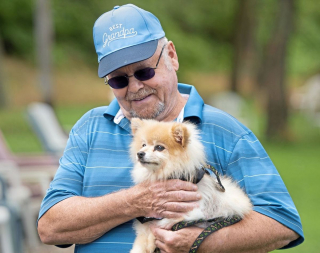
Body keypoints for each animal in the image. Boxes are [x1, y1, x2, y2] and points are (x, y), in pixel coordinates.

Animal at [130, 118, 252, 253]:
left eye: (159, 147)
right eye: (143, 145)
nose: (140, 153)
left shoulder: (197, 209)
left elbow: (167, 221)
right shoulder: (146, 222)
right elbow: (142, 239)